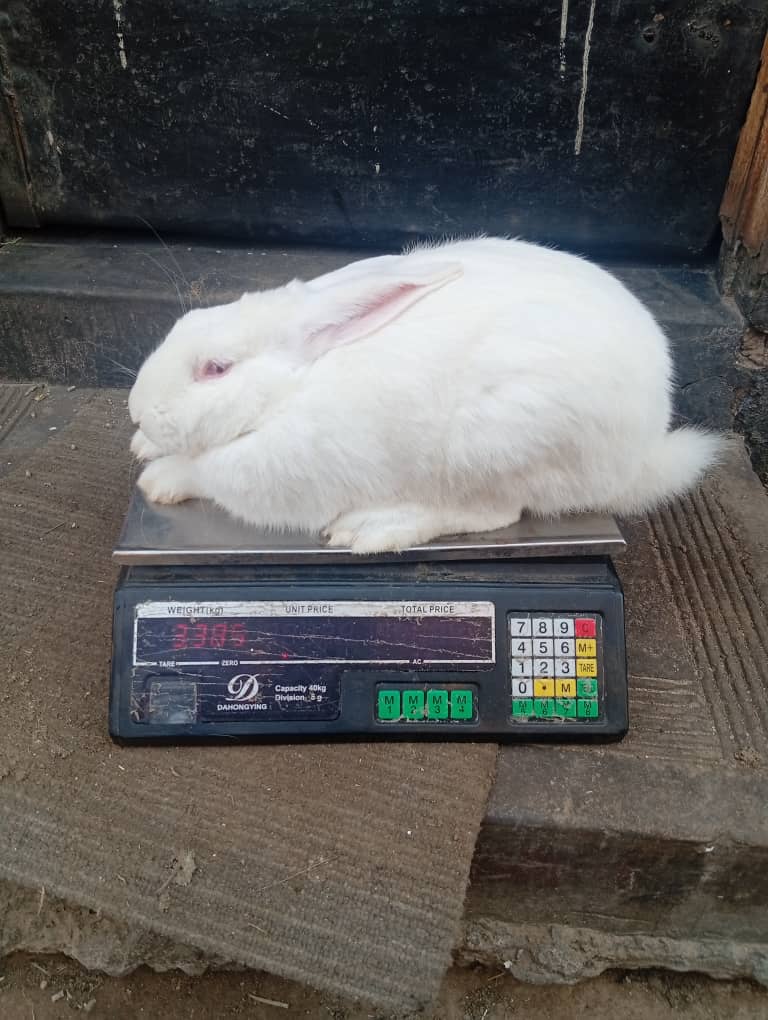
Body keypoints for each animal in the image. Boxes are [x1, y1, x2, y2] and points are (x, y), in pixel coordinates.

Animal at [128, 237, 723, 554]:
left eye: (216, 368)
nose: (136, 407)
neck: (289, 392)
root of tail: (641, 454)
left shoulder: (274, 477)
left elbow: (203, 474)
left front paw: (158, 479)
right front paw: (143, 445)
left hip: (493, 447)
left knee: (494, 513)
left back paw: (373, 528)